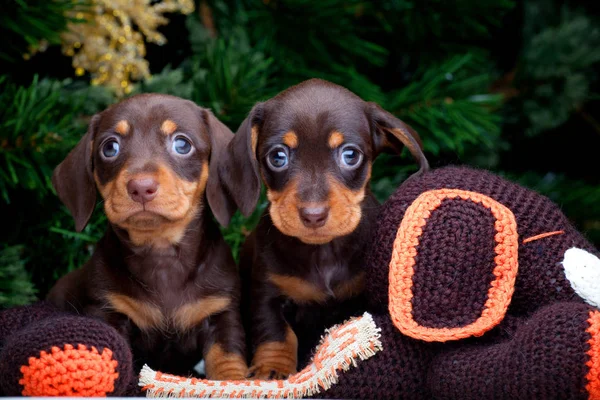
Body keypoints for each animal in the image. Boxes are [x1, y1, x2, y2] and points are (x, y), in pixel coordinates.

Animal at [47, 93, 248, 378]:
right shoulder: (108, 310)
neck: (161, 255)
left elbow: (228, 364)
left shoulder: (221, 314)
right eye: (110, 148)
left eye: (182, 144)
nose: (141, 187)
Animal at [213, 77, 428, 378]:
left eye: (350, 155)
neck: (322, 252)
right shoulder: (267, 293)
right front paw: (273, 368)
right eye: (277, 157)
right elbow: (276, 333)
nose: (313, 215)